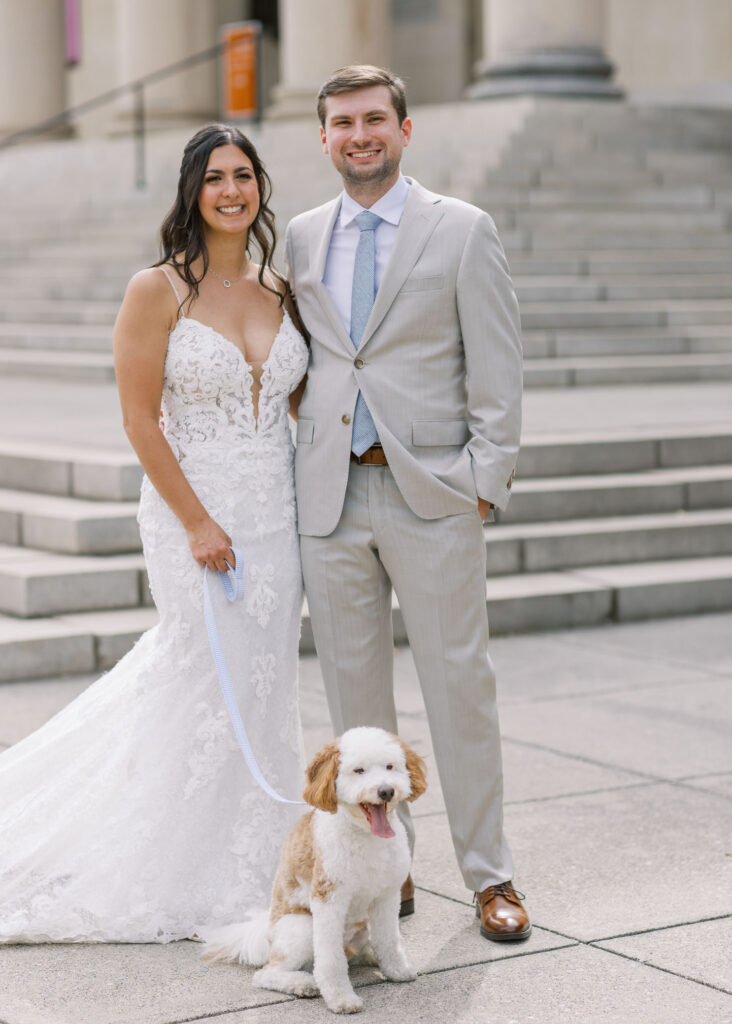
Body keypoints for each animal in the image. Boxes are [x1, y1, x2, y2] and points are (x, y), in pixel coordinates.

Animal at [201, 729, 429, 1015]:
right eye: (359, 770)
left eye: (390, 766)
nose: (386, 790)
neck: (365, 836)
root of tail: (265, 934)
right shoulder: (329, 899)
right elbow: (330, 960)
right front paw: (341, 998)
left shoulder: (387, 897)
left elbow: (388, 940)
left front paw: (396, 970)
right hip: (301, 928)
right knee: (267, 973)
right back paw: (302, 983)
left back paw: (369, 955)